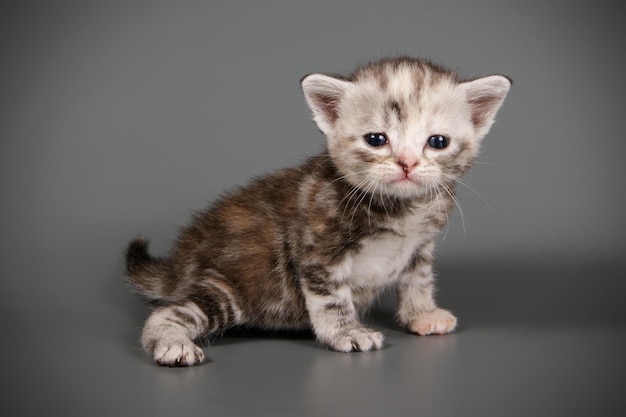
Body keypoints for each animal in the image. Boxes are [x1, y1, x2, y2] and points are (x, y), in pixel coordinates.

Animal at [124, 55, 510, 364]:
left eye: (438, 142)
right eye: (376, 139)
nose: (407, 163)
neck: (400, 209)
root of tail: (180, 261)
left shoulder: (421, 244)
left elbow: (419, 279)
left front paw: (422, 314)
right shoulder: (317, 247)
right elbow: (332, 298)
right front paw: (346, 333)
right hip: (230, 287)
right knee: (169, 313)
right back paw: (173, 344)